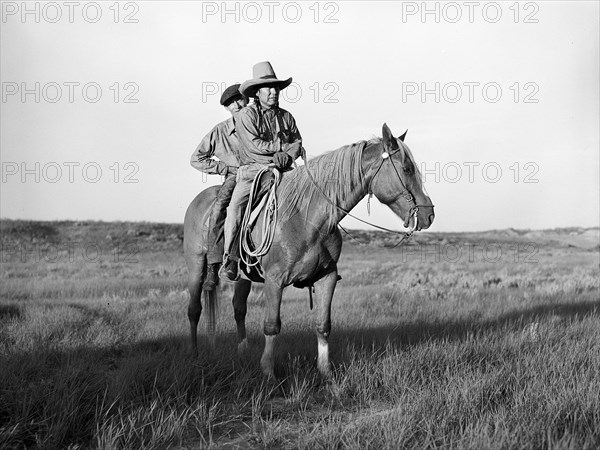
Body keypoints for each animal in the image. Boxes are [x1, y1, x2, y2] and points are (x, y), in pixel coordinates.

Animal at [184, 122, 436, 376]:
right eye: (407, 168)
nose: (429, 214)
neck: (308, 217)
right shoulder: (274, 281)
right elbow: (271, 326)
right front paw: (268, 371)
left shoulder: (328, 277)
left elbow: (323, 325)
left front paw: (325, 372)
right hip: (196, 265)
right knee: (194, 309)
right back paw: (194, 353)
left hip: (243, 277)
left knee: (238, 308)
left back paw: (242, 350)